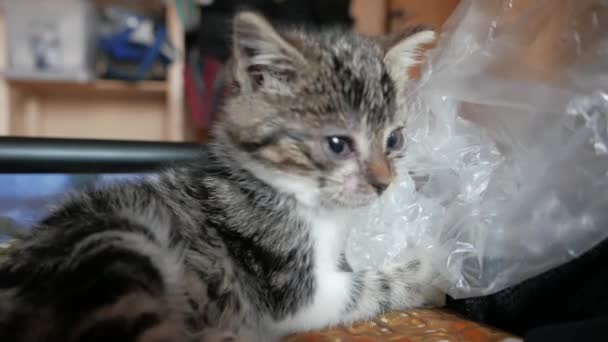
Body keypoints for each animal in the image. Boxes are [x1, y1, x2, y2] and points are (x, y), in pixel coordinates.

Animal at [0, 12, 440, 342]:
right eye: (337, 144)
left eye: (394, 139)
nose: (383, 182)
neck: (307, 201)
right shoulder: (295, 293)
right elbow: (362, 288)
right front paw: (429, 271)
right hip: (115, 239)